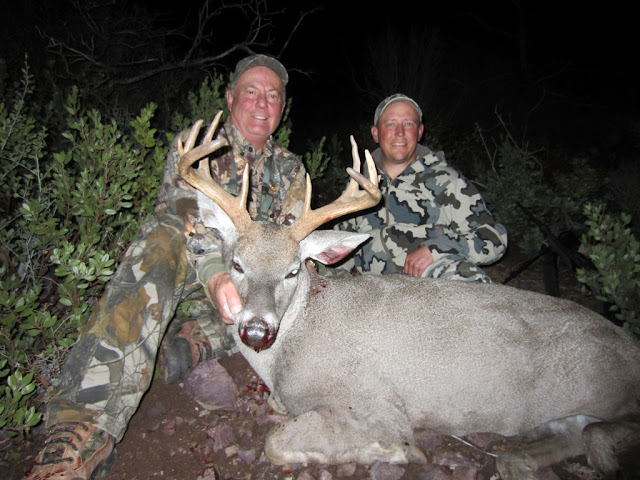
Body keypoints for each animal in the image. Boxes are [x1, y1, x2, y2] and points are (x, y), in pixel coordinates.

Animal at [177, 112, 640, 479]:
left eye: (293, 270)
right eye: (237, 264)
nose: (256, 330)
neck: (294, 342)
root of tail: (630, 346)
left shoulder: (371, 402)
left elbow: (277, 441)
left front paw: (396, 450)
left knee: (601, 428)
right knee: (574, 434)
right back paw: (519, 460)